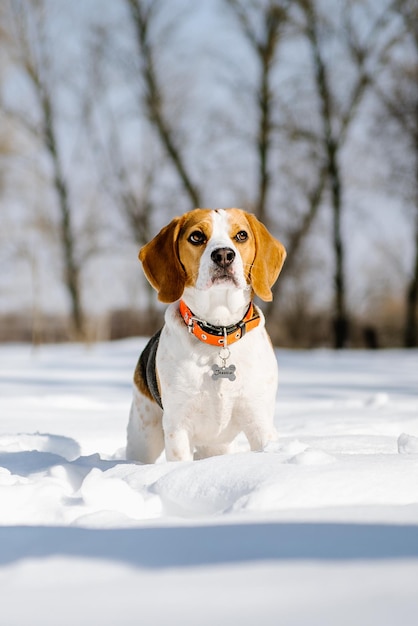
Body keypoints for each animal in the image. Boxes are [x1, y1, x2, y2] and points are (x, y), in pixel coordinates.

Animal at [125, 207, 286, 460]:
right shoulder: (178, 426)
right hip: (144, 436)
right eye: (196, 237)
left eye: (241, 235)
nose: (223, 255)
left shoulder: (260, 422)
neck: (219, 330)